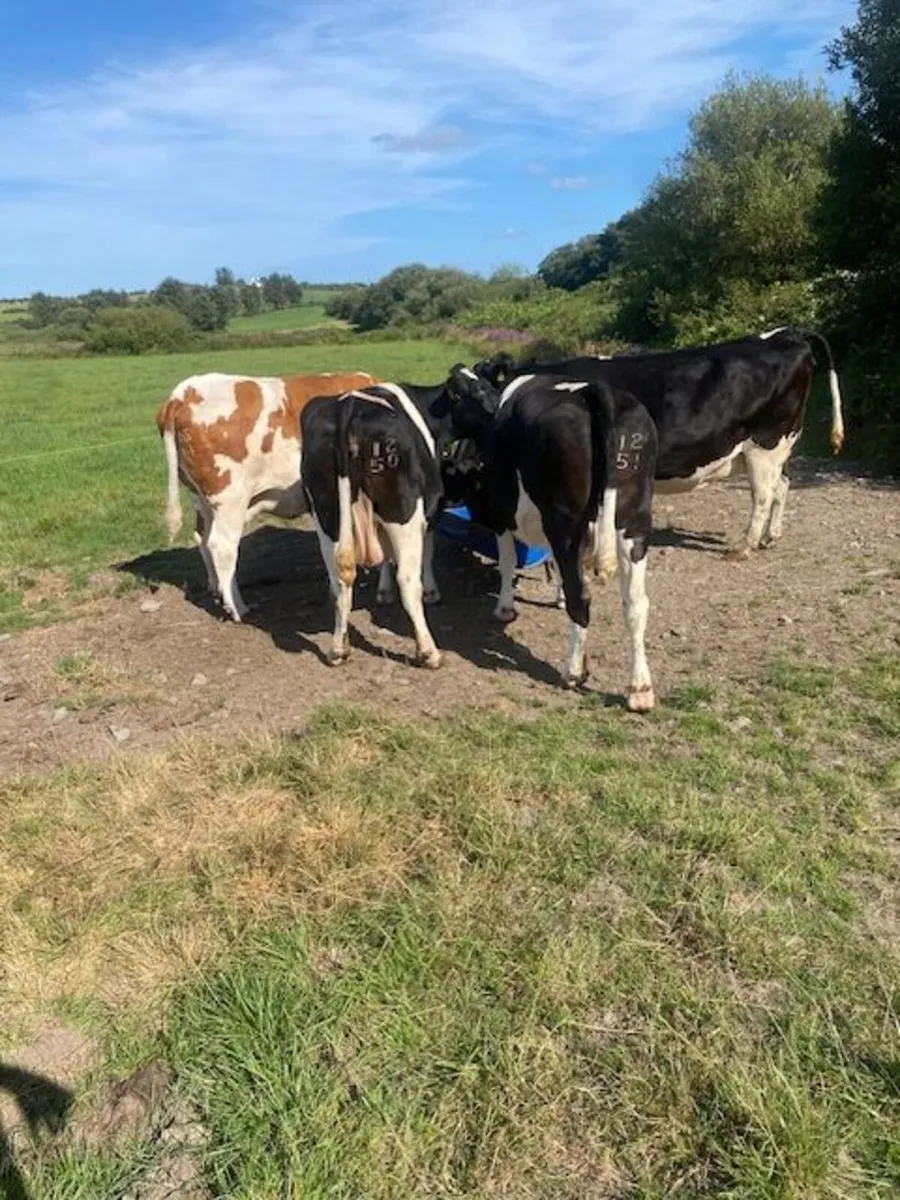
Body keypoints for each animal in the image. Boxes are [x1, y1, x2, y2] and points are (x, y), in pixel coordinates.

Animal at [155, 369, 378, 621]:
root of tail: (182, 394)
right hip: (229, 499)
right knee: (222, 546)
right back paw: (237, 608)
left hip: (200, 498)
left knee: (201, 538)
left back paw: (217, 589)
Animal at [300, 365, 499, 669]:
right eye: (479, 391)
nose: (499, 407)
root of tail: (349, 410)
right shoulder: (430, 507)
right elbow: (426, 550)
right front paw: (431, 591)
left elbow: (385, 556)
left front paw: (383, 592)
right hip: (403, 513)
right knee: (407, 579)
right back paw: (428, 652)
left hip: (326, 516)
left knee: (339, 579)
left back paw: (338, 649)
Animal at [445, 372, 659, 711]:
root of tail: (597, 391)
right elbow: (556, 566)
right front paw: (555, 596)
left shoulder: (502, 512)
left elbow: (508, 561)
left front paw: (505, 608)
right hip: (635, 520)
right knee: (635, 603)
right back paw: (640, 690)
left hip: (566, 522)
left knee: (581, 597)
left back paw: (572, 672)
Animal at [474, 325, 845, 560]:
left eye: (482, 390)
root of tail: (785, 334)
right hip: (779, 447)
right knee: (782, 486)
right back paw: (770, 537)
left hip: (764, 444)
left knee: (764, 495)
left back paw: (745, 546)